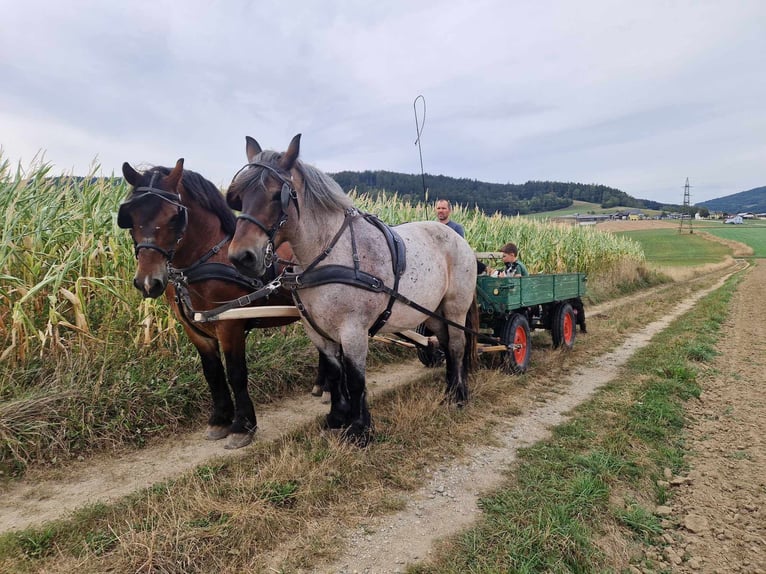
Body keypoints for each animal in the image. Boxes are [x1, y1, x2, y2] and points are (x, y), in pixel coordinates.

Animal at [118, 160, 328, 452]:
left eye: (174, 216)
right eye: (131, 217)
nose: (148, 282)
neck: (206, 259)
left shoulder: (231, 324)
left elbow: (236, 373)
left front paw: (243, 427)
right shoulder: (194, 327)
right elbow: (213, 373)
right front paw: (219, 420)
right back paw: (323, 385)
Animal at [228, 135, 480, 446]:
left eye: (277, 195)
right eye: (239, 196)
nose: (241, 257)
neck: (329, 254)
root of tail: (458, 238)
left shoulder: (354, 329)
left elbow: (356, 378)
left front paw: (360, 429)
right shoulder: (317, 330)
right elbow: (336, 374)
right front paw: (337, 417)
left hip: (455, 307)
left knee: (457, 346)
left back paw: (459, 397)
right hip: (432, 312)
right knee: (443, 344)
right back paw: (448, 391)